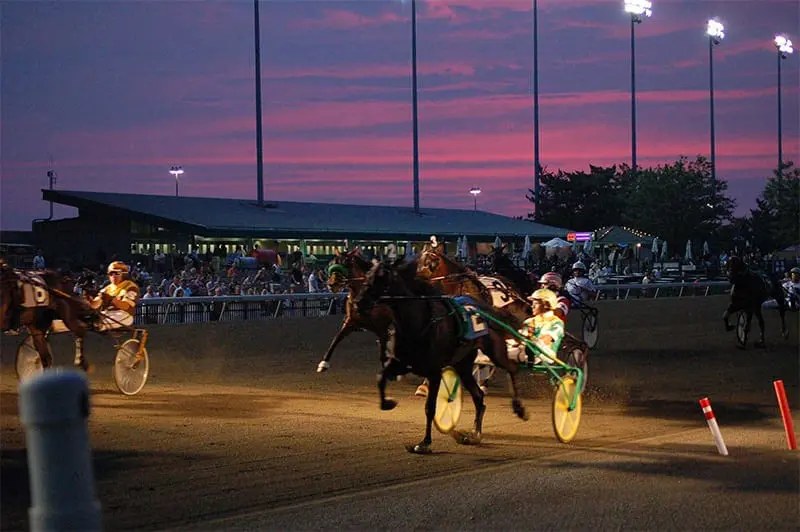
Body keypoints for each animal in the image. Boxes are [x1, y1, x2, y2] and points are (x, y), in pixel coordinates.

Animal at [358, 258, 532, 454]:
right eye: (368, 275)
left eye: (383, 278)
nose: (359, 302)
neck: (419, 321)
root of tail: (484, 307)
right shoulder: (401, 363)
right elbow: (381, 378)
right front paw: (388, 403)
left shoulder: (434, 372)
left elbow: (430, 407)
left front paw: (424, 443)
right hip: (463, 364)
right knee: (479, 396)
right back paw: (474, 434)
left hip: (494, 351)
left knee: (511, 368)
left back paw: (518, 408)